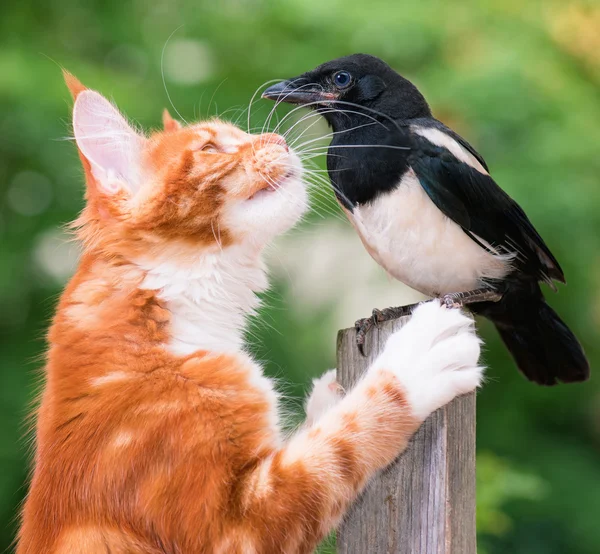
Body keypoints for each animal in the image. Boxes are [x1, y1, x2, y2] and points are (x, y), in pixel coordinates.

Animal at [18, 73, 486, 552]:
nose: (279, 139)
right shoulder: (232, 528)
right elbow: (341, 444)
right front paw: (417, 358)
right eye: (210, 148)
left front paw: (330, 394)